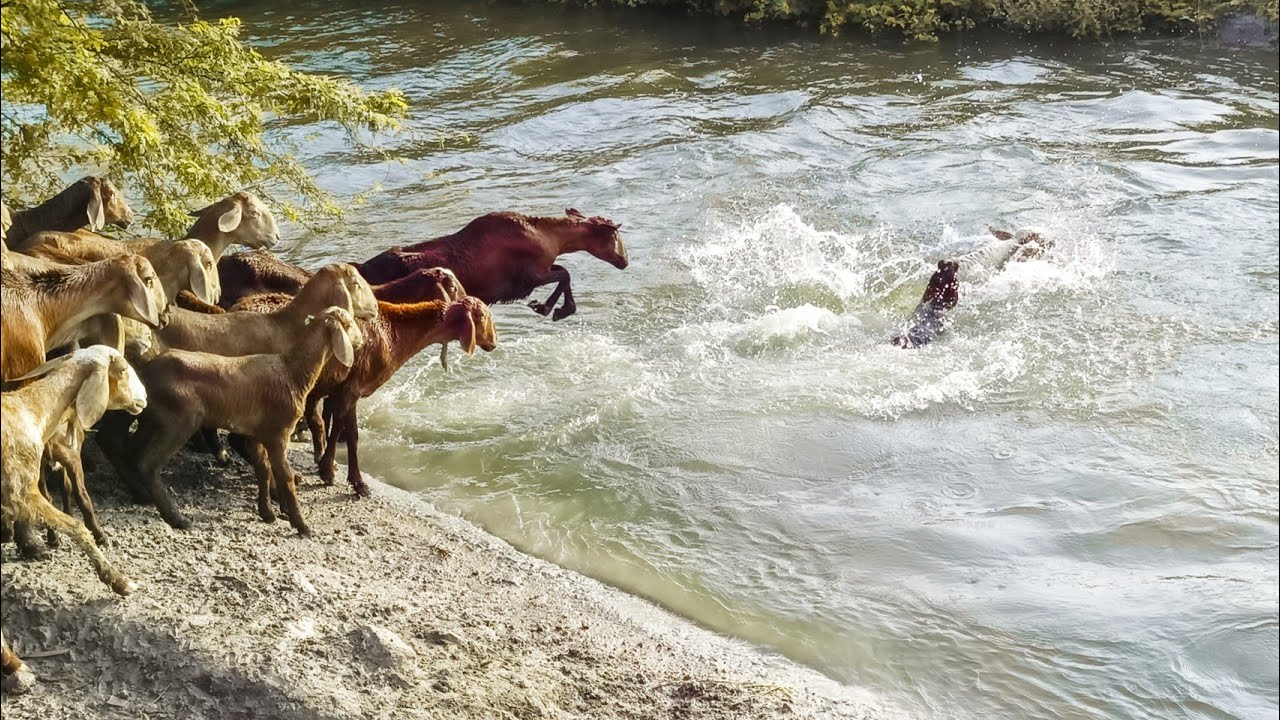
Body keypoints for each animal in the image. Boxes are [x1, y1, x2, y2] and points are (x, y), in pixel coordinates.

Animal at [1, 346, 148, 595]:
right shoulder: (21, 492)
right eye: (122, 370)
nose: (144, 397)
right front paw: (118, 580)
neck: (33, 412)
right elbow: (77, 526)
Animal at [100, 307, 364, 535]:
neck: (292, 372)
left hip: (152, 420)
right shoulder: (278, 432)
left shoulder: (256, 433)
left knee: (129, 451)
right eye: (350, 324)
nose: (362, 341)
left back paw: (142, 494)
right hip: (178, 419)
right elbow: (285, 476)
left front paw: (268, 513)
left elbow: (263, 468)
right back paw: (177, 518)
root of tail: (146, 375)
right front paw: (301, 525)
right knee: (146, 461)